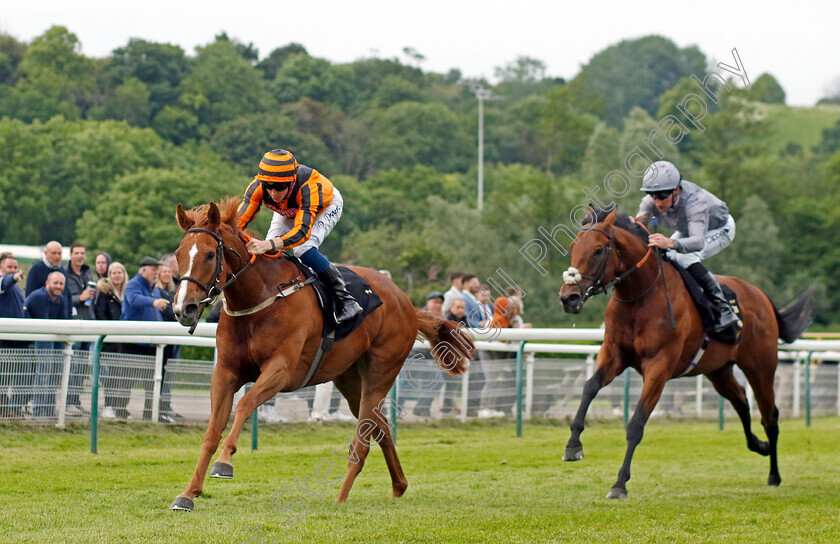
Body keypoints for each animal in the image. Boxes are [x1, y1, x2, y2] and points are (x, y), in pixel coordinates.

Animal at [167, 199, 476, 510]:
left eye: (209, 255)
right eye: (178, 254)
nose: (184, 309)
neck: (259, 297)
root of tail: (407, 303)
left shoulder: (280, 370)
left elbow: (244, 406)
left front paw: (224, 463)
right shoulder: (225, 373)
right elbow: (211, 431)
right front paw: (188, 494)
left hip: (381, 371)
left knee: (364, 438)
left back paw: (341, 497)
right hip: (349, 378)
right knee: (379, 427)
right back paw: (398, 486)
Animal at [556, 206, 812, 500]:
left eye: (598, 250)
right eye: (572, 246)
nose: (568, 298)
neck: (639, 297)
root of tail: (761, 295)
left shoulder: (659, 366)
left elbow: (636, 425)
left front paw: (619, 484)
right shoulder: (614, 354)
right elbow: (589, 387)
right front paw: (573, 446)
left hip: (761, 368)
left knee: (770, 416)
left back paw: (774, 474)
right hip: (719, 370)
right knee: (740, 402)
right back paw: (760, 446)